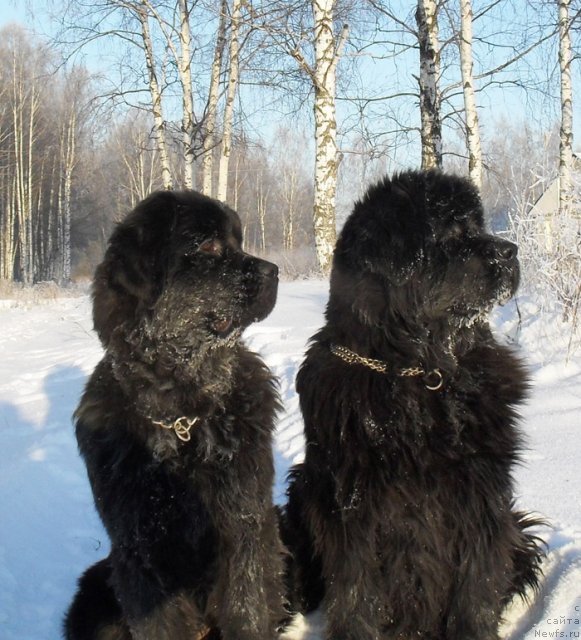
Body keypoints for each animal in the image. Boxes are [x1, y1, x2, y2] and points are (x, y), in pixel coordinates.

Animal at [64, 190, 286, 640]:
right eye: (209, 246)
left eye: (237, 241)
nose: (274, 271)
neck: (183, 416)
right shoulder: (139, 549)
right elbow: (160, 622)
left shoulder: (244, 525)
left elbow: (247, 606)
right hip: (97, 584)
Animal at [284, 170, 548, 640]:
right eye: (449, 233)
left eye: (477, 226)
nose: (510, 250)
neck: (415, 372)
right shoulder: (352, 504)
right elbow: (357, 591)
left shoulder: (482, 496)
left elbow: (477, 588)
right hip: (303, 486)